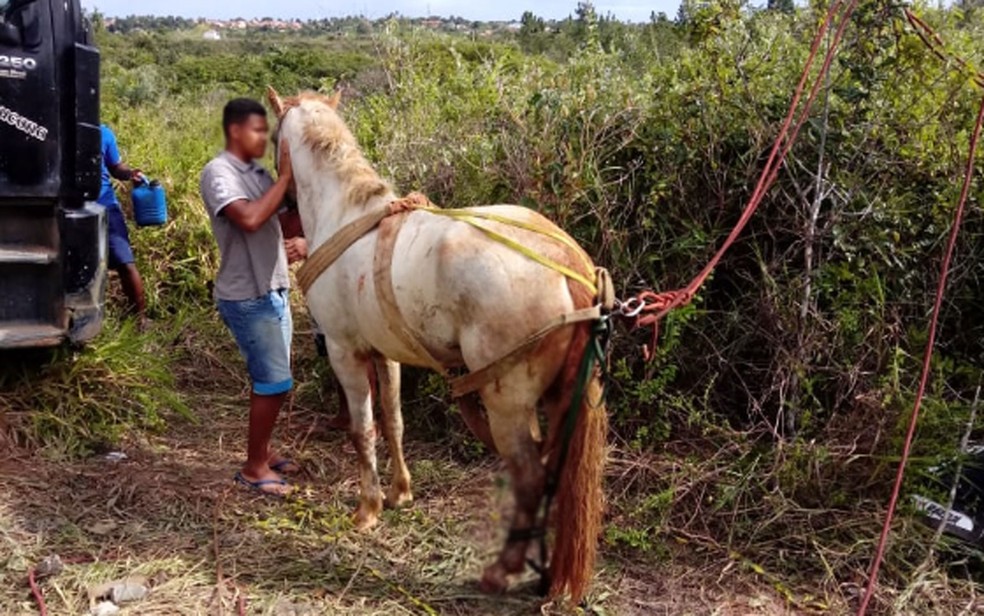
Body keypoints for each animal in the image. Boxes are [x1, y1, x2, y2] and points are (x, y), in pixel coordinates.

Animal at [270, 89, 608, 604]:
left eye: (271, 140)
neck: (344, 210)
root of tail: (567, 261)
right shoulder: (385, 354)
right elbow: (393, 422)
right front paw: (399, 492)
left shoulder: (346, 353)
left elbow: (362, 429)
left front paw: (367, 509)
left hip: (507, 406)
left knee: (530, 478)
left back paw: (502, 571)